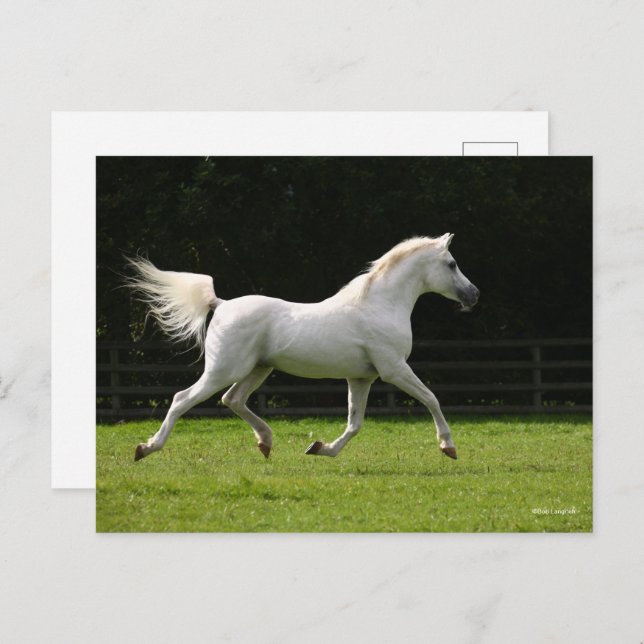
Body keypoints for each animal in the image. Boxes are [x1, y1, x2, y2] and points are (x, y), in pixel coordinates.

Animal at [127, 234, 479, 463]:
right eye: (452, 264)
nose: (474, 294)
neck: (380, 305)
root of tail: (222, 304)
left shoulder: (361, 378)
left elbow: (355, 423)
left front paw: (321, 449)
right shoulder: (394, 370)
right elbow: (431, 398)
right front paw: (448, 448)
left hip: (258, 368)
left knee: (233, 399)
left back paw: (266, 443)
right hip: (224, 369)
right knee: (182, 399)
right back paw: (146, 448)